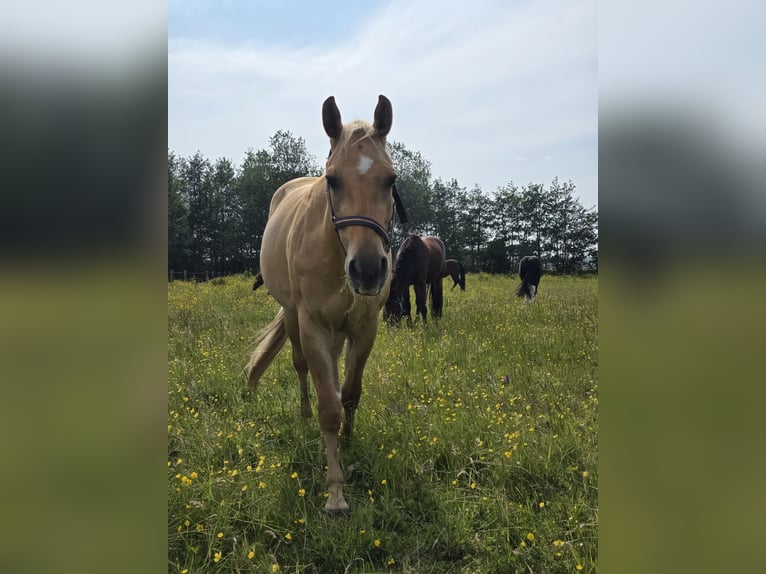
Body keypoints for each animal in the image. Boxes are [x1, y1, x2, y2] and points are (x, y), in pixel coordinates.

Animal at [246, 95, 407, 516]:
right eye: (332, 179)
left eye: (391, 179)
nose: (368, 269)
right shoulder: (313, 326)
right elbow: (328, 408)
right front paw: (335, 492)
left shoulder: (365, 328)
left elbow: (348, 393)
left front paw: (348, 443)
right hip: (292, 318)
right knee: (301, 368)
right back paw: (304, 418)